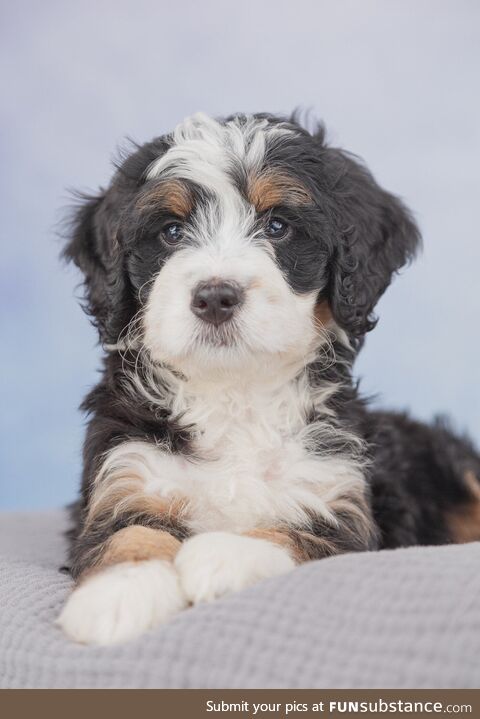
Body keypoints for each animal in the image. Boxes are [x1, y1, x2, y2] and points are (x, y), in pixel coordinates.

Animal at [57, 112, 480, 648]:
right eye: (172, 231)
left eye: (277, 226)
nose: (216, 297)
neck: (236, 392)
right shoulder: (125, 473)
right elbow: (123, 534)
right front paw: (119, 593)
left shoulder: (344, 507)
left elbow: (297, 532)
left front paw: (224, 554)